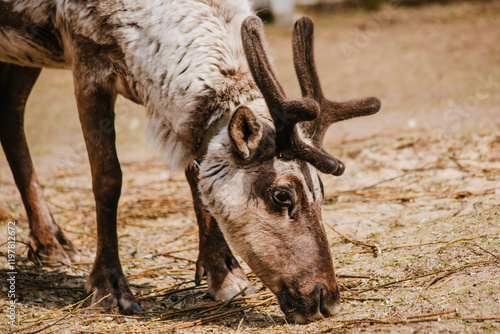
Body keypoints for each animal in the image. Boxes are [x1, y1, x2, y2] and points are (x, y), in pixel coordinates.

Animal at [0, 0, 378, 324]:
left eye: (322, 191)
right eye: (281, 195)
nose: (326, 299)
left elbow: (196, 178)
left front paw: (223, 272)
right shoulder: (86, 58)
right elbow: (108, 179)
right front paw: (110, 288)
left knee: (11, 115)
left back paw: (50, 242)